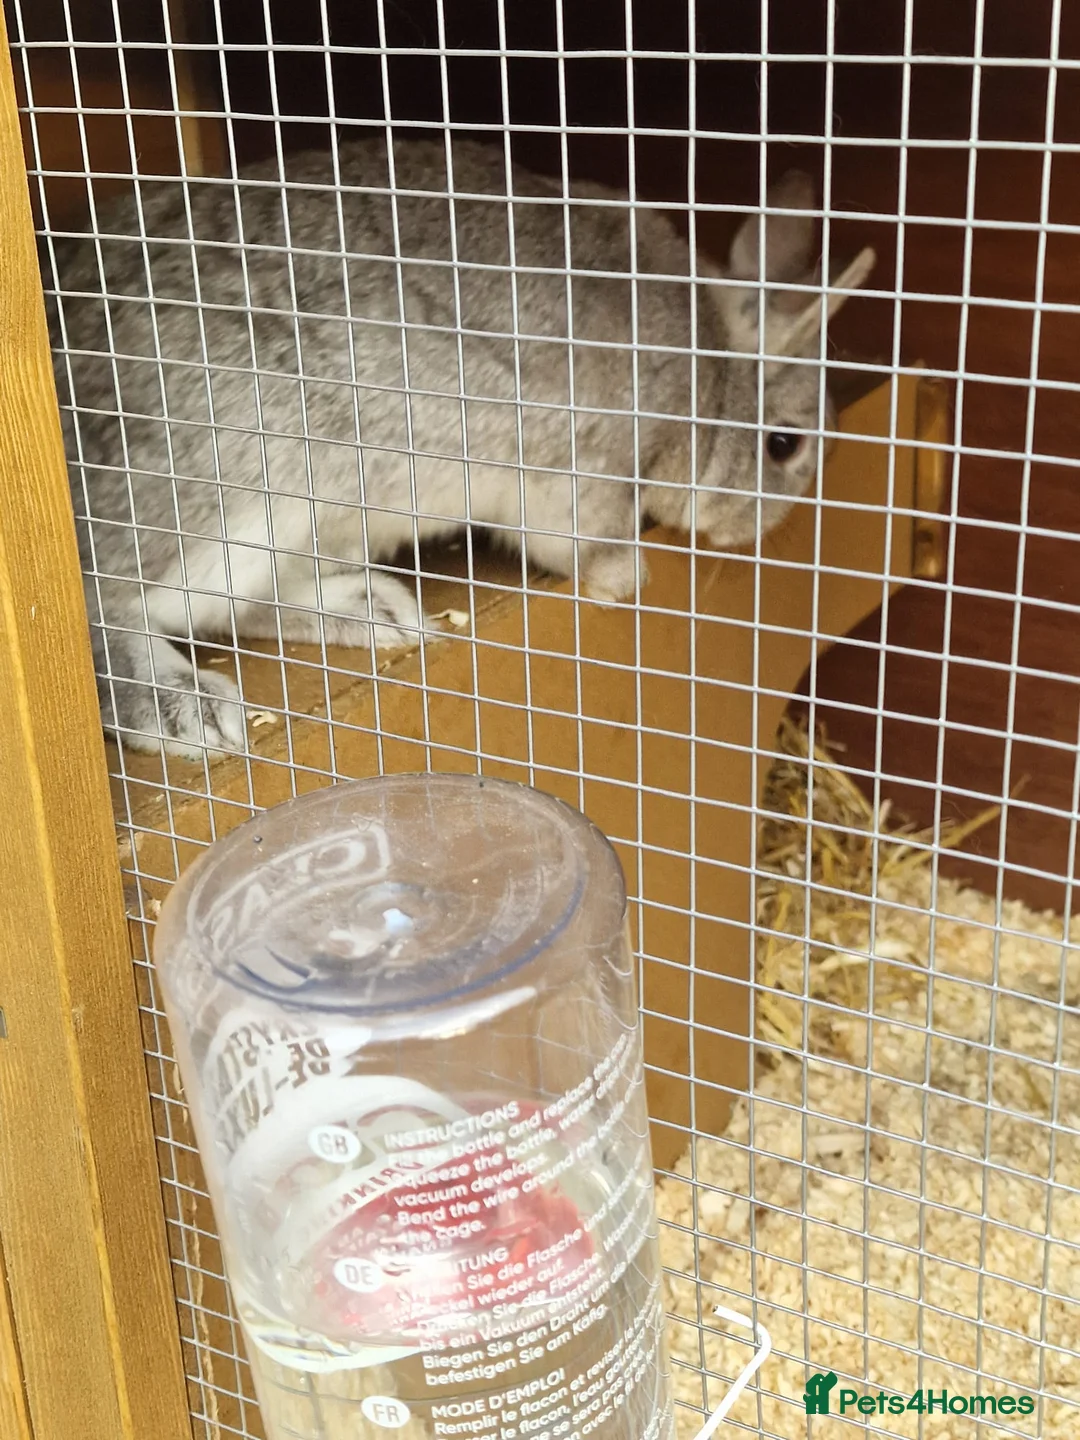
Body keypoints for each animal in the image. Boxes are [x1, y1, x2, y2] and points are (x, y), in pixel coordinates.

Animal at [46, 137, 875, 759]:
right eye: (783, 446)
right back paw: (188, 710)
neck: (709, 377)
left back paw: (377, 614)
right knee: (108, 609)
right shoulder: (582, 478)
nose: (757, 528)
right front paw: (626, 579)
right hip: (243, 494)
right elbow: (584, 545)